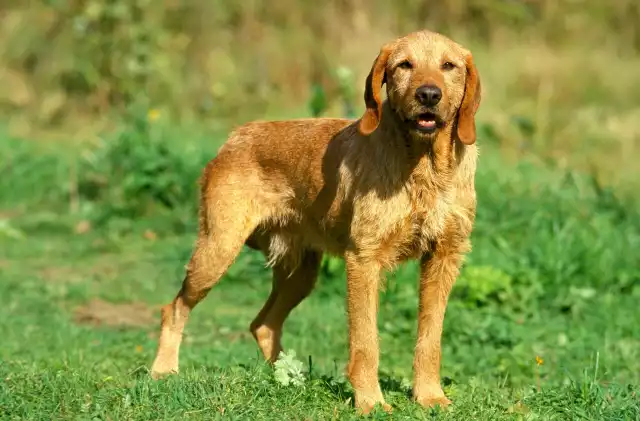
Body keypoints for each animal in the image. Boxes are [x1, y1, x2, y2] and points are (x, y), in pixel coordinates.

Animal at [150, 30, 480, 414]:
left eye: (449, 65)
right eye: (404, 65)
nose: (428, 94)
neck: (425, 168)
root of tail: (235, 136)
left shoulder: (444, 257)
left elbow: (430, 338)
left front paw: (430, 396)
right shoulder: (364, 261)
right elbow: (366, 341)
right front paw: (370, 402)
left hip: (301, 274)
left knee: (264, 324)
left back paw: (288, 378)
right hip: (216, 251)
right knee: (173, 308)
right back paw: (163, 370)